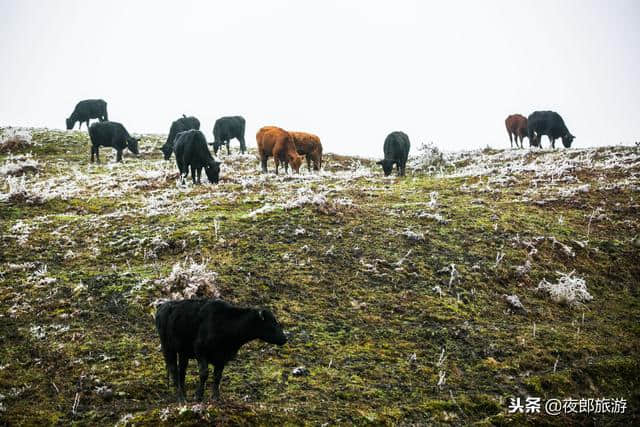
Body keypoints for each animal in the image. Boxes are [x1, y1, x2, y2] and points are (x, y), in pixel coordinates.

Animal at [155, 300, 288, 402]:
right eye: (271, 323)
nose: (285, 338)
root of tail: (163, 305)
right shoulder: (200, 350)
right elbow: (204, 373)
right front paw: (198, 396)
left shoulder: (222, 358)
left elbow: (217, 376)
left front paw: (216, 397)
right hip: (168, 348)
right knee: (173, 370)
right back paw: (181, 398)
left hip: (183, 352)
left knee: (181, 371)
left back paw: (184, 395)